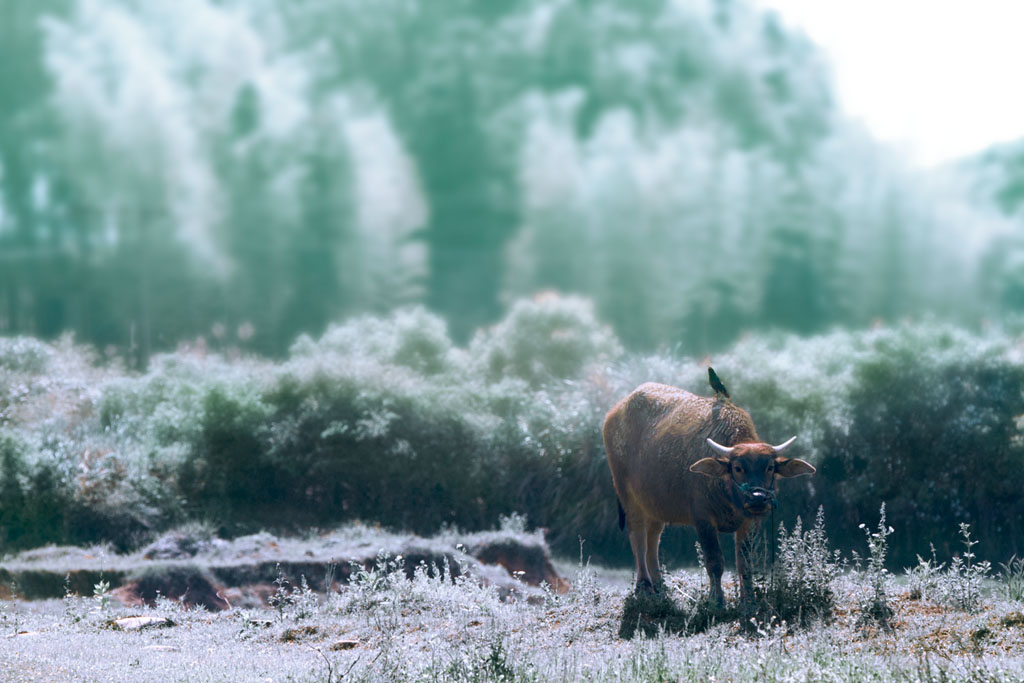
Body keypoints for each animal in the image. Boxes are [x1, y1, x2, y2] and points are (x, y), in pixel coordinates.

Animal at [602, 385, 811, 602]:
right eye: (737, 468)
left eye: (769, 467)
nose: (758, 498)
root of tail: (615, 413)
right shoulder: (703, 518)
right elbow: (715, 561)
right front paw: (716, 599)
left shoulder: (750, 521)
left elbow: (744, 563)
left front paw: (748, 599)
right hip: (626, 494)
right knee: (638, 537)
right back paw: (644, 586)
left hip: (654, 504)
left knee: (653, 537)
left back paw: (659, 585)